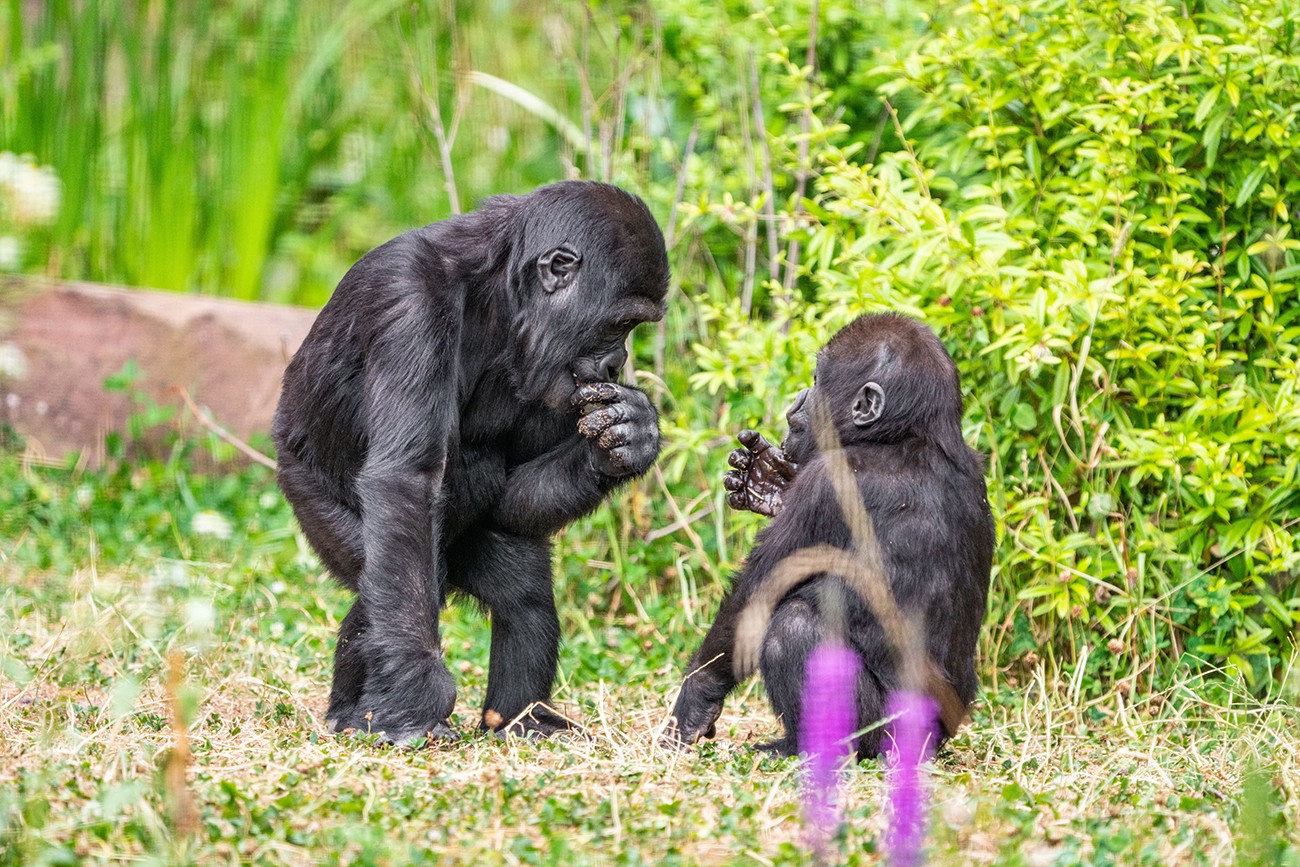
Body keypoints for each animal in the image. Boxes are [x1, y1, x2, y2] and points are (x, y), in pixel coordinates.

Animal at [279, 181, 676, 748]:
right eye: (621, 323)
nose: (616, 362)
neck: (502, 292)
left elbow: (514, 499)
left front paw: (627, 438)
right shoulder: (411, 300)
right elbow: (405, 478)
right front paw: (416, 696)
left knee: (521, 591)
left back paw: (521, 720)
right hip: (307, 491)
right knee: (391, 574)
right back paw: (356, 711)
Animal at [670, 313, 993, 759]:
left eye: (817, 378)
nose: (799, 398)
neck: (909, 435)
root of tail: (937, 739)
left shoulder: (825, 488)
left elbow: (757, 593)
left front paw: (696, 697)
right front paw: (770, 481)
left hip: (887, 735)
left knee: (793, 627)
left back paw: (802, 747)